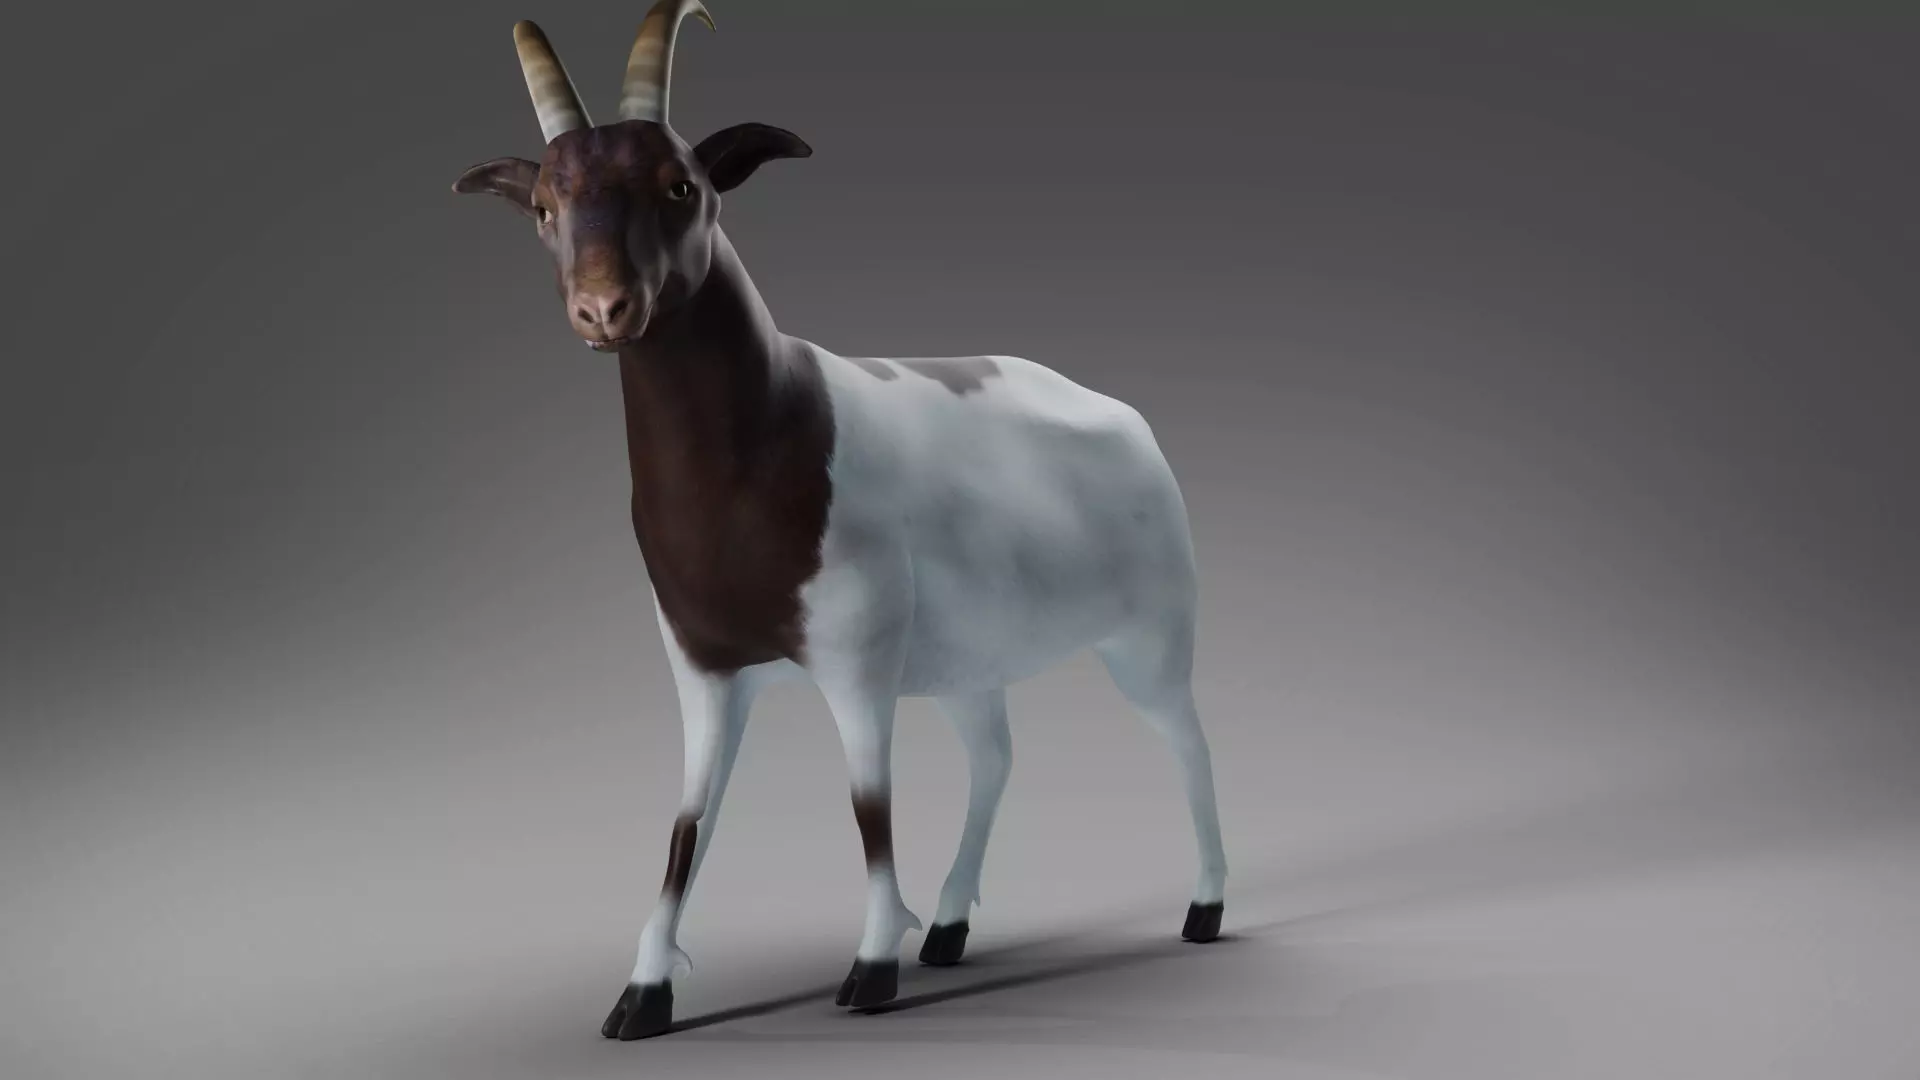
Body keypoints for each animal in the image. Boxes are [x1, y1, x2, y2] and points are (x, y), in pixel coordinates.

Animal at [453, 1, 1228, 1041]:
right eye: (544, 204)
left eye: (680, 184)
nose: (605, 308)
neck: (769, 433)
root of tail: (1134, 424)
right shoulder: (703, 669)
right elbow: (688, 826)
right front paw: (642, 994)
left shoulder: (857, 664)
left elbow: (869, 809)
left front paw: (869, 969)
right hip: (967, 662)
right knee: (995, 755)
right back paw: (949, 929)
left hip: (1148, 637)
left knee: (1187, 740)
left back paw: (1203, 909)